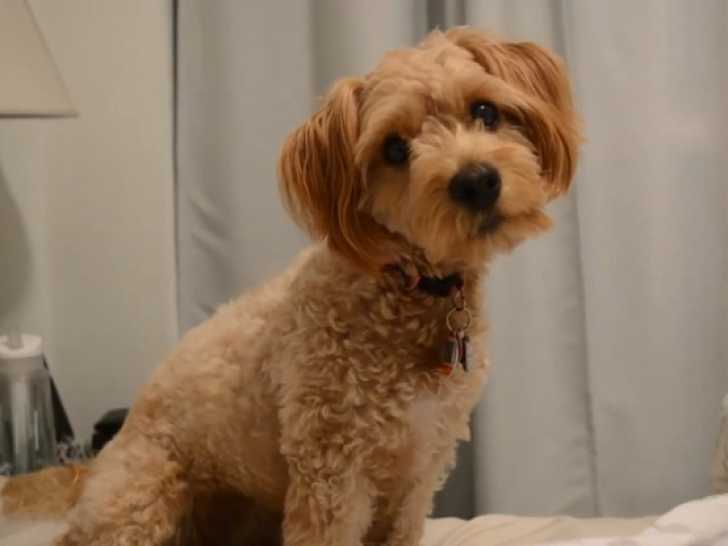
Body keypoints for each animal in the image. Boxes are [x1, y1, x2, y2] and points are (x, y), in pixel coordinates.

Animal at [16, 26, 580, 546]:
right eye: (395, 149)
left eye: (485, 110)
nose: (478, 180)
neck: (407, 286)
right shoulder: (334, 469)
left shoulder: (420, 467)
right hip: (141, 500)